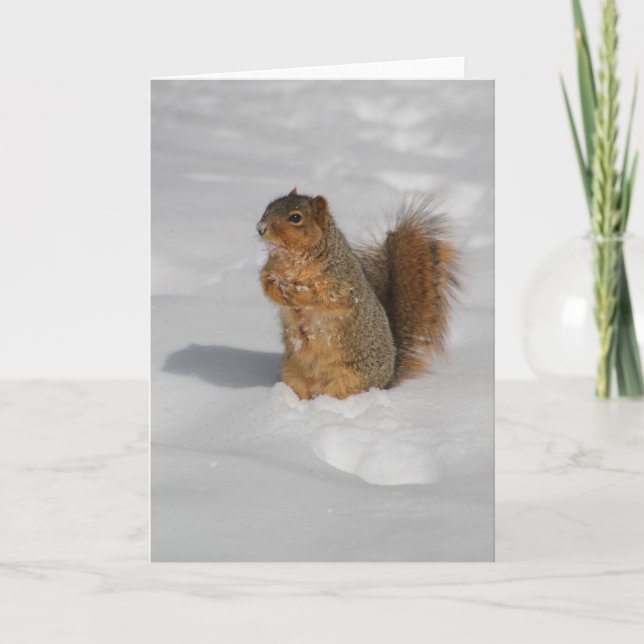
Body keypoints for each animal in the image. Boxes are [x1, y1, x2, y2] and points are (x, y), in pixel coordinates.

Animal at [257, 188, 459, 400]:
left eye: (295, 217)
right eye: (269, 207)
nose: (260, 228)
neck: (292, 257)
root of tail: (387, 380)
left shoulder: (341, 282)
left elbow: (324, 296)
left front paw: (296, 293)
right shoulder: (270, 269)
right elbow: (266, 282)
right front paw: (277, 290)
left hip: (350, 379)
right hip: (292, 374)